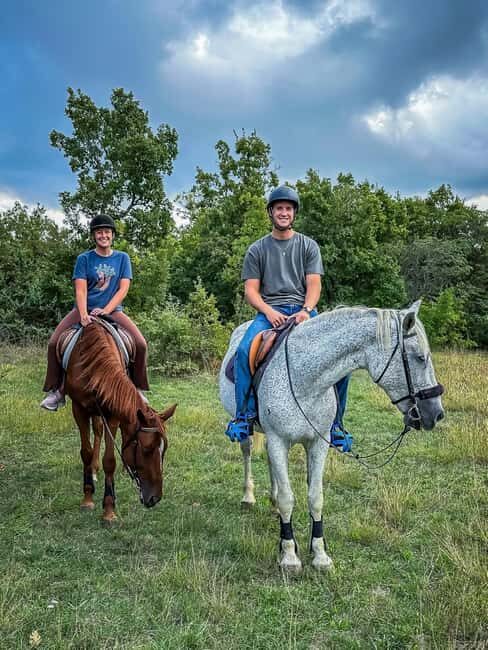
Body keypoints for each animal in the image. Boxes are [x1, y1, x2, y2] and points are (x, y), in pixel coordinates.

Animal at [65, 320, 176, 522]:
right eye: (147, 450)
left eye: (164, 450)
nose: (155, 498)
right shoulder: (79, 409)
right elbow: (86, 452)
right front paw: (88, 499)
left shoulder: (112, 414)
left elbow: (110, 460)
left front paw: (109, 510)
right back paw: (93, 470)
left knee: (104, 431)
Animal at [219, 301, 444, 572]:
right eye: (420, 358)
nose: (437, 413)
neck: (305, 380)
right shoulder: (278, 439)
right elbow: (287, 498)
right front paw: (289, 555)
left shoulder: (318, 442)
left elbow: (315, 497)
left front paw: (320, 554)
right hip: (249, 431)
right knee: (248, 452)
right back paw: (248, 496)